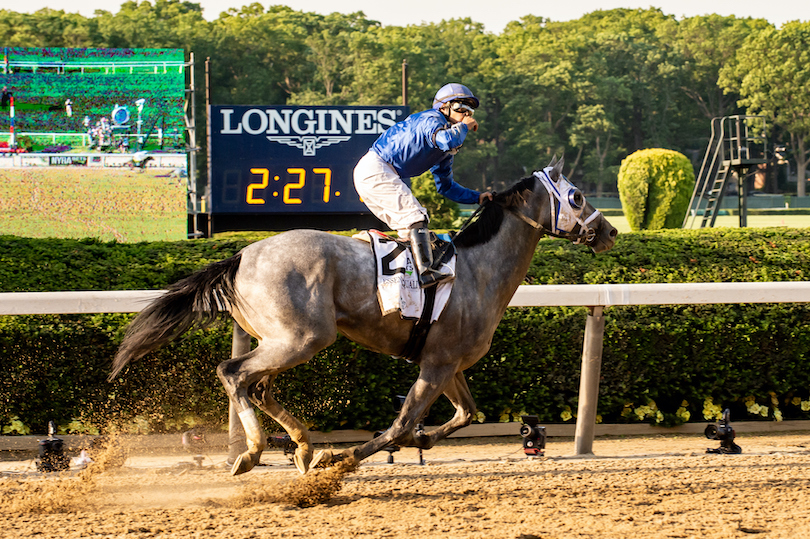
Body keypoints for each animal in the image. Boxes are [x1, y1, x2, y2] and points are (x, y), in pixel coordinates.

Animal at [110, 157, 616, 476]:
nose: (610, 231)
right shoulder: (436, 365)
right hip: (302, 338)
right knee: (233, 372)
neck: (477, 271)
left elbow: (465, 414)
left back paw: (303, 447)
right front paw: (345, 458)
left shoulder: (447, 362)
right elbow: (400, 424)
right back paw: (254, 452)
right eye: (576, 196)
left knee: (258, 386)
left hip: (281, 340)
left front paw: (418, 443)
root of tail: (241, 256)